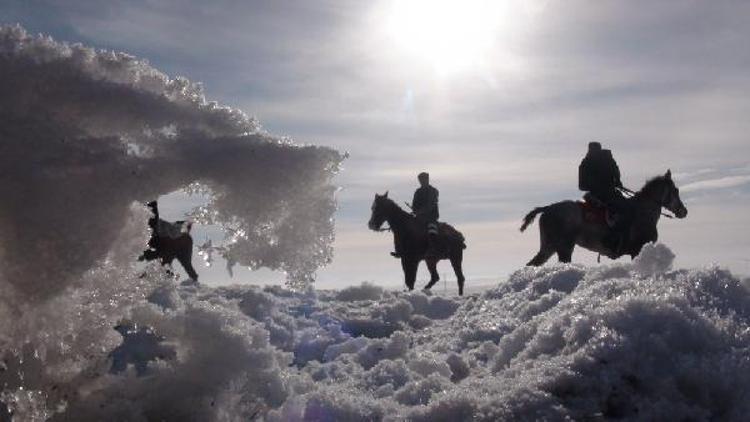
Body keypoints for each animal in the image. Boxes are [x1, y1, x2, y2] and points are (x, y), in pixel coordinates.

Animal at [520, 169, 692, 264]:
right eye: (675, 191)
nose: (684, 211)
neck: (644, 212)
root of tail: (548, 208)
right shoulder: (637, 250)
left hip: (549, 247)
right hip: (564, 247)